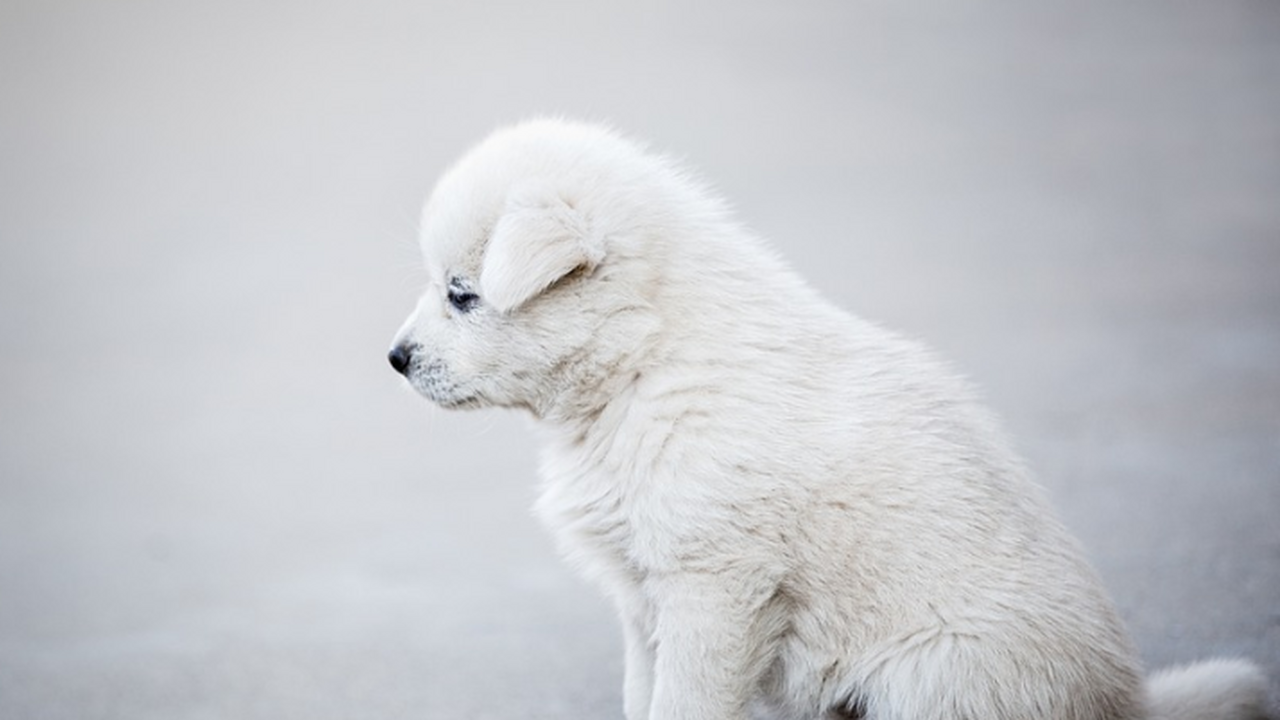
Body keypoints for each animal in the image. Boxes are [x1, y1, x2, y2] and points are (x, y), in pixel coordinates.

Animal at [384, 119, 1264, 717]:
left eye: (462, 294)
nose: (394, 358)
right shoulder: (644, 599)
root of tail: (1129, 705)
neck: (645, 363)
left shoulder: (714, 585)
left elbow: (683, 703)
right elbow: (641, 697)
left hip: (931, 674)